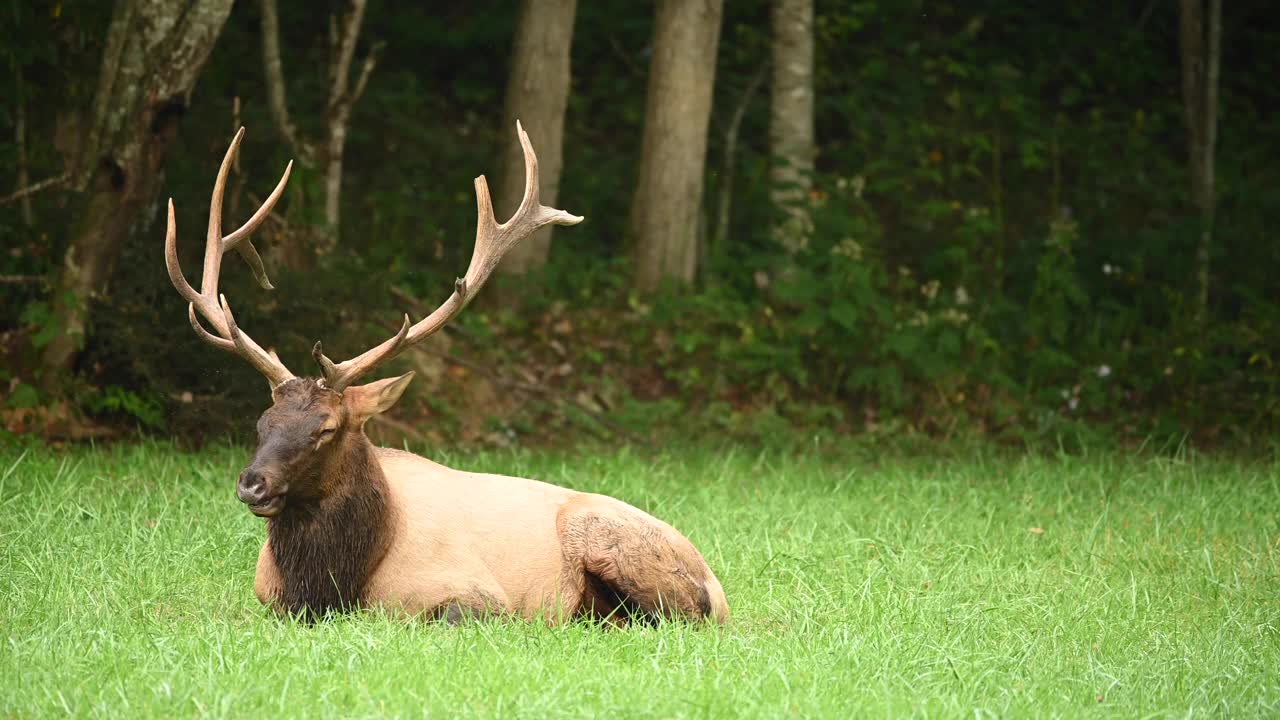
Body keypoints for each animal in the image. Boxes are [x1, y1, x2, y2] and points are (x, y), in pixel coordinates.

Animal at [163, 122, 727, 622]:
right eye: (261, 423)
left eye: (326, 428)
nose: (252, 485)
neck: (331, 587)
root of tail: (718, 588)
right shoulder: (268, 599)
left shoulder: (474, 592)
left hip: (613, 540)